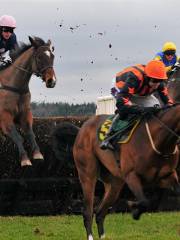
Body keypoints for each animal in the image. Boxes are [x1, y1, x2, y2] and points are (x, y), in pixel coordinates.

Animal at [0, 36, 56, 167]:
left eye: (52, 56)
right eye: (39, 57)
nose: (52, 81)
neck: (15, 86)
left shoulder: (25, 113)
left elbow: (30, 133)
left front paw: (37, 154)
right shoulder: (4, 116)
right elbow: (17, 136)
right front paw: (25, 159)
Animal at [54, 105, 180, 240]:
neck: (159, 140)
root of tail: (81, 129)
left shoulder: (167, 176)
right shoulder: (131, 175)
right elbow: (144, 202)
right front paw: (134, 209)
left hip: (114, 183)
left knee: (100, 212)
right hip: (87, 174)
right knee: (88, 211)